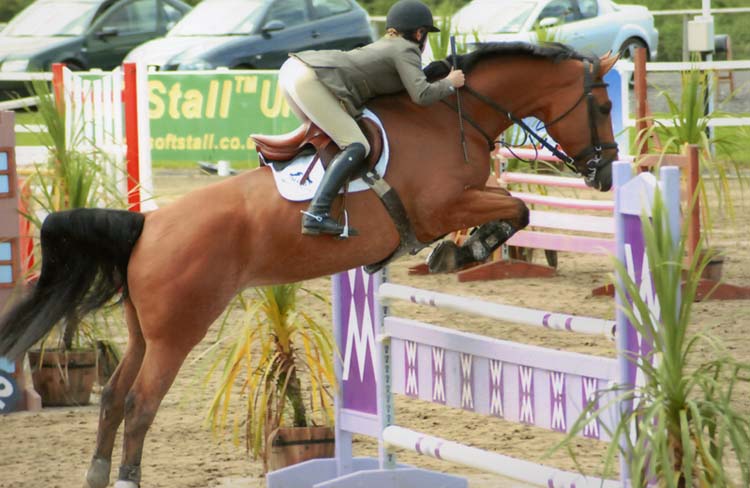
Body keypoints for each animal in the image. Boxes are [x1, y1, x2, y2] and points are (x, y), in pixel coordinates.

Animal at [0, 43, 616, 486]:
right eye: (606, 105)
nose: (606, 175)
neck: (450, 115)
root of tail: (147, 227)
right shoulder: (441, 206)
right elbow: (517, 206)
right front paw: (466, 250)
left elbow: (514, 206)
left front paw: (463, 250)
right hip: (179, 331)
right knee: (139, 402)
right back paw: (128, 476)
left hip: (144, 330)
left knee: (110, 397)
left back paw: (98, 473)